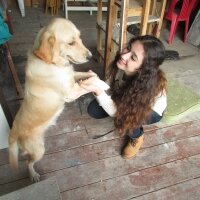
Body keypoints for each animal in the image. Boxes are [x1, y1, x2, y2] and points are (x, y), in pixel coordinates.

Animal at [8, 18, 95, 182]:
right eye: (71, 43)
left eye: (80, 37)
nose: (91, 56)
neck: (52, 63)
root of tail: (13, 131)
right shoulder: (71, 92)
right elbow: (87, 85)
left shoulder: (72, 76)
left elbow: (84, 75)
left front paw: (95, 76)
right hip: (39, 149)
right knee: (28, 162)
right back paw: (33, 175)